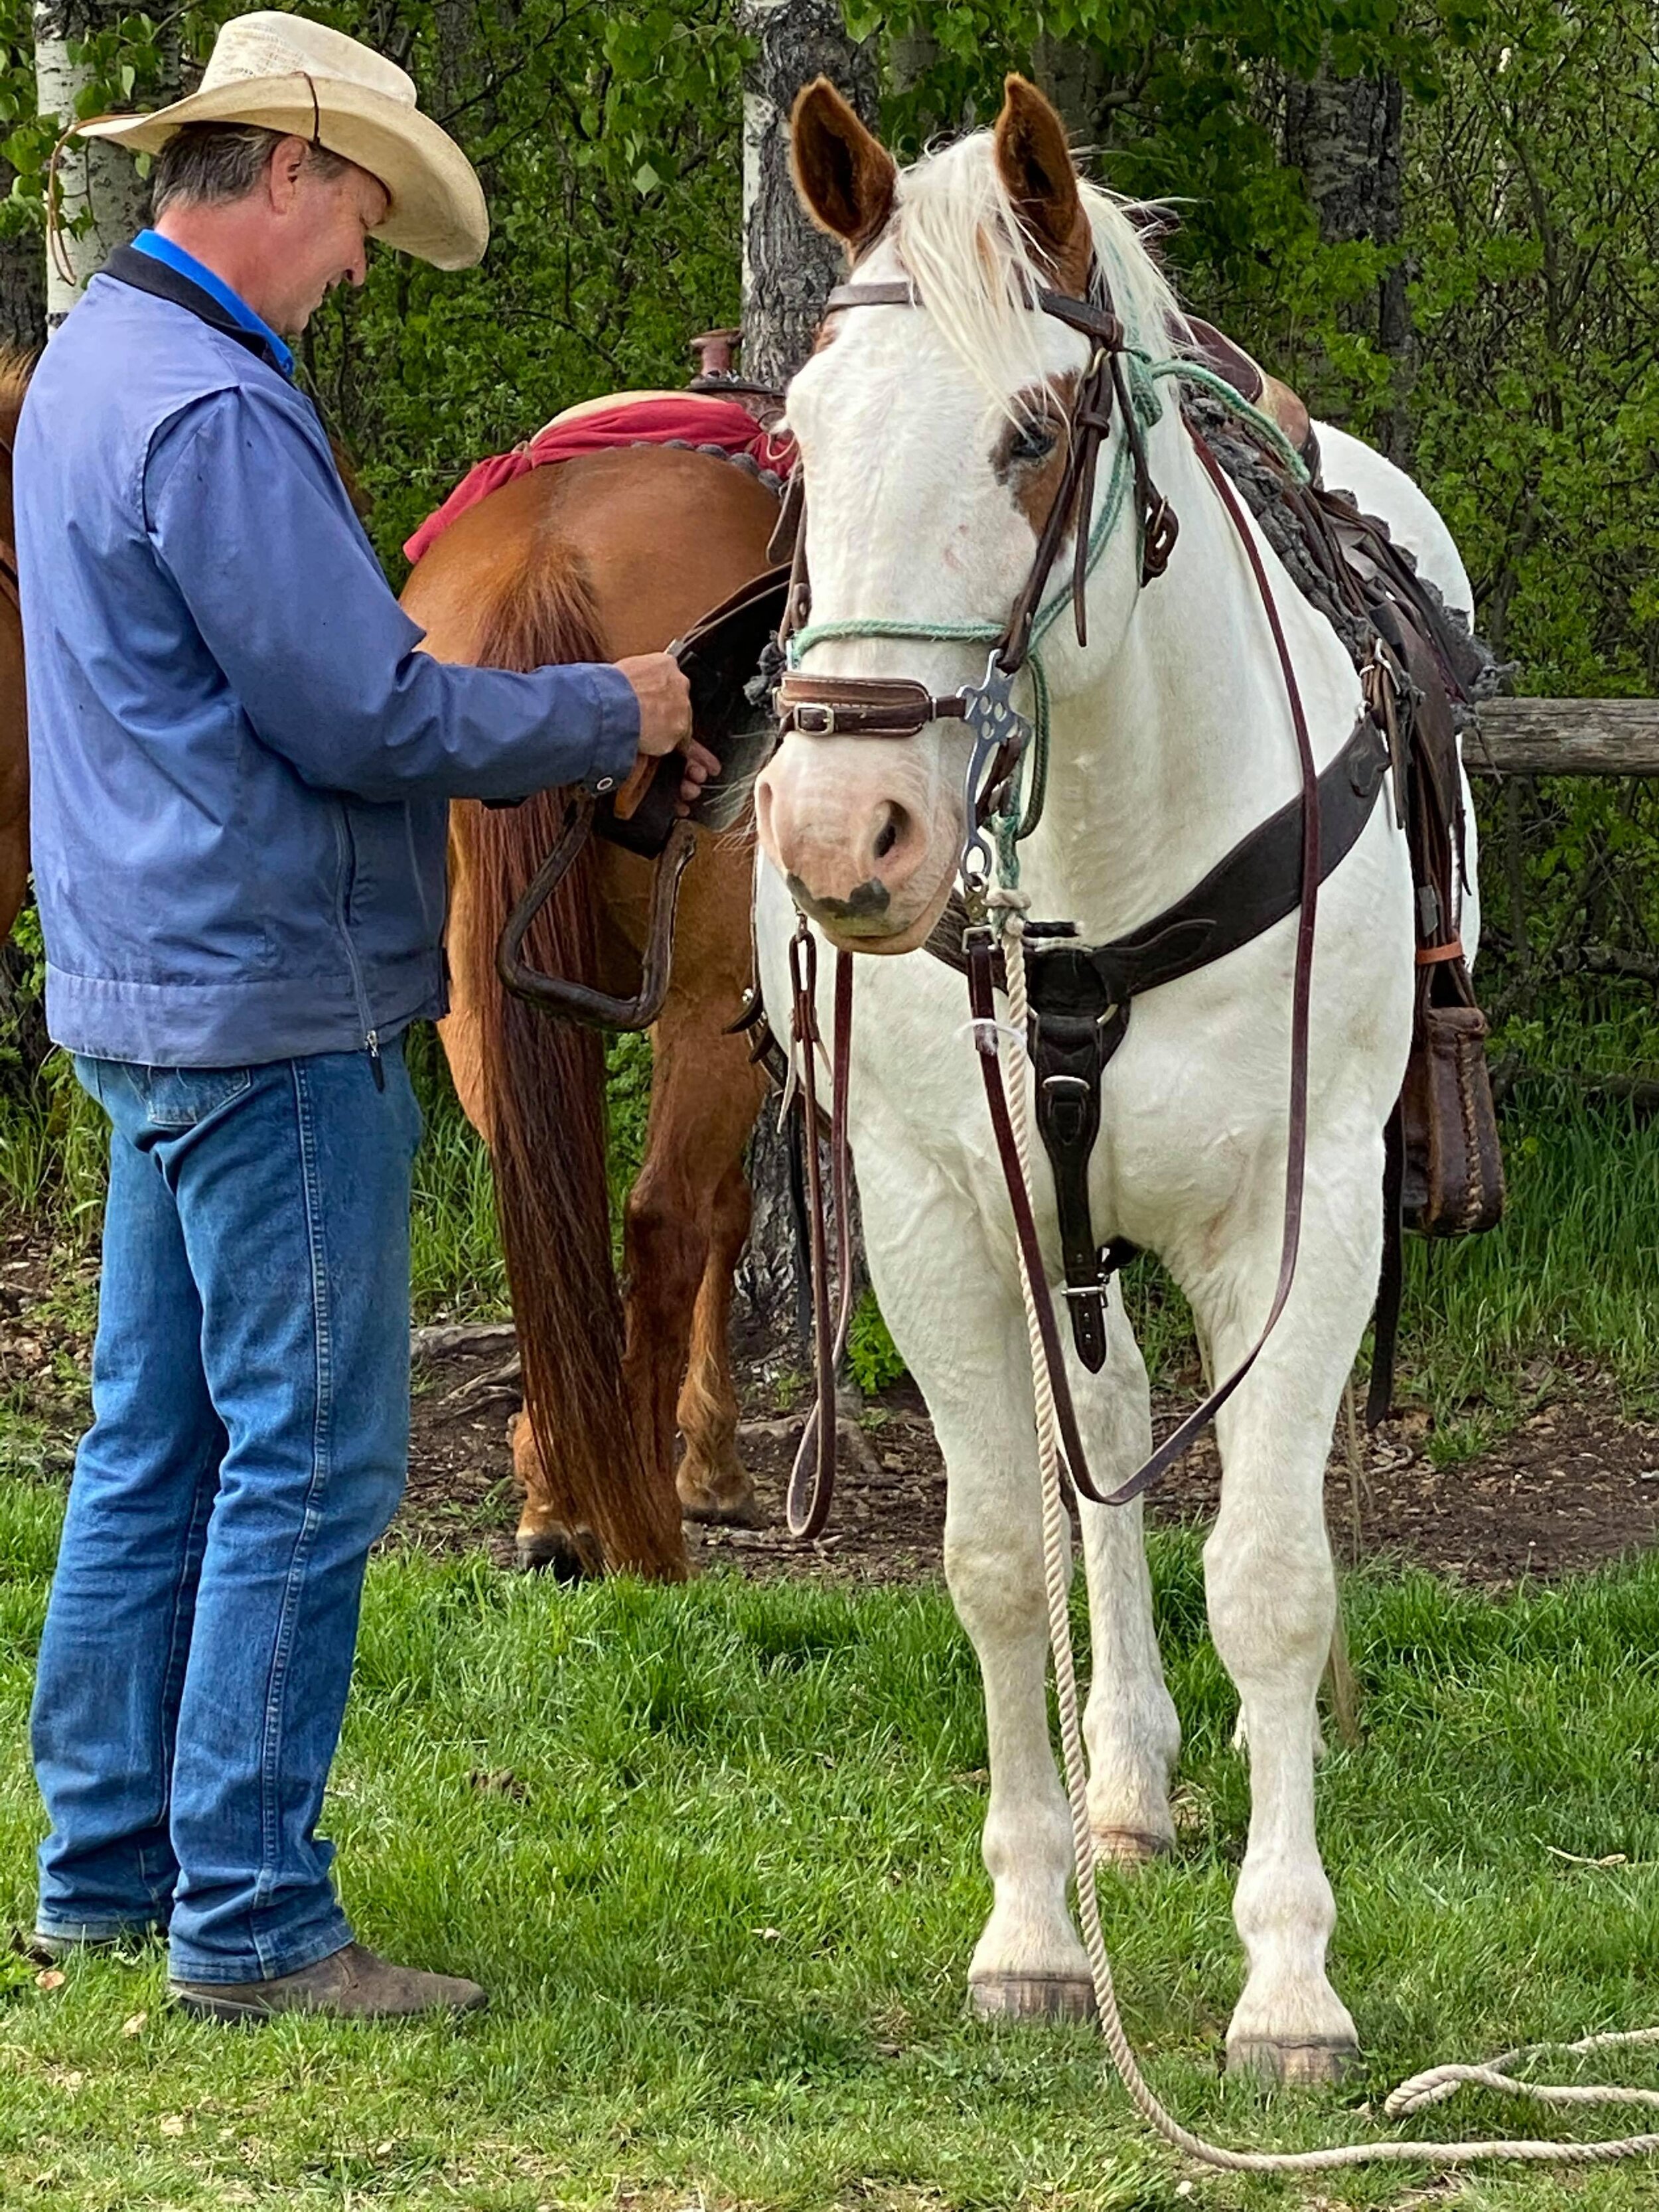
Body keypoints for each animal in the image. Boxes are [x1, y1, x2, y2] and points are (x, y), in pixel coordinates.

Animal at [409, 440, 787, 1575]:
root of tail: (545, 558)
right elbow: (726, 1213)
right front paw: (715, 1471)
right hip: (709, 997)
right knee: (664, 1216)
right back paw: (645, 1523)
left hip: (475, 993)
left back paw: (554, 1495)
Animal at [760, 78, 1486, 2079]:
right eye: (794, 439)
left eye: (1028, 432)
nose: (843, 831)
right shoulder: (940, 1214)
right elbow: (1000, 1556)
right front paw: (1028, 1933)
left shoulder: (1306, 1214)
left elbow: (1272, 1574)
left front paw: (1290, 1974)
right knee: (1098, 1445)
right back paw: (1124, 1780)